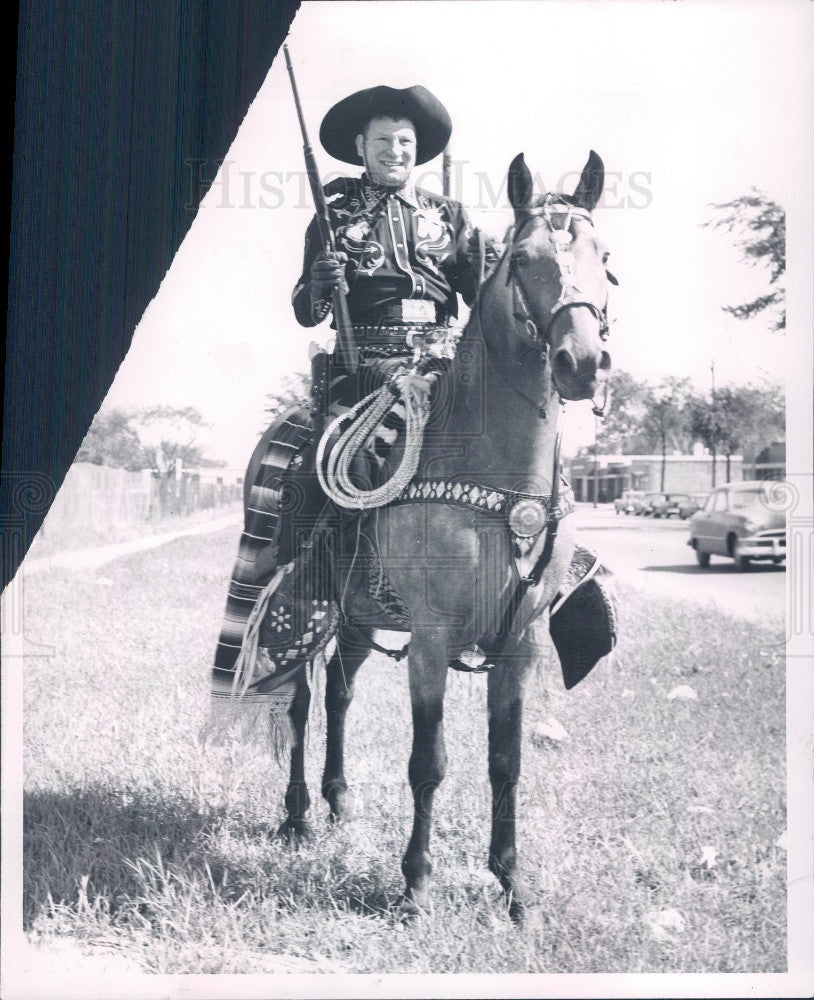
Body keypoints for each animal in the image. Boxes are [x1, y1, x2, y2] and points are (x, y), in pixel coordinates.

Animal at [262, 148, 612, 920]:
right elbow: (430, 763)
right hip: (307, 606)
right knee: (300, 702)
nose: (581, 362)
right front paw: (417, 882)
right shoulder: (429, 641)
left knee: (339, 692)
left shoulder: (520, 644)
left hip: (359, 617)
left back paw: (338, 802)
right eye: (523, 259)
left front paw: (512, 885)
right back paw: (297, 814)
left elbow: (506, 763)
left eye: (605, 257)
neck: (494, 479)